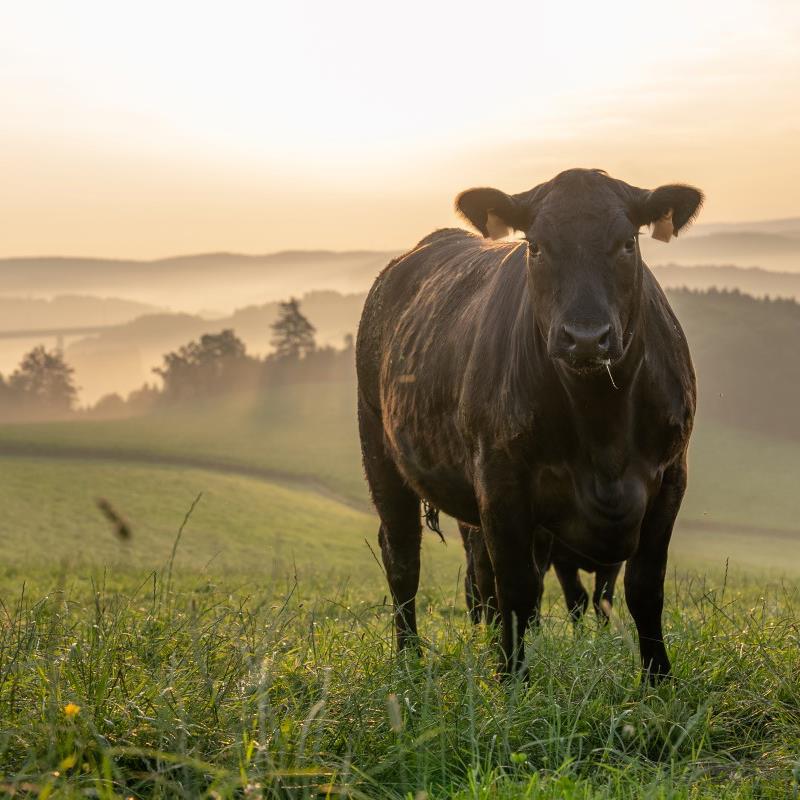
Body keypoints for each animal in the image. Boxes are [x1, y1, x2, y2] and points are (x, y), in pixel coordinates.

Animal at [356, 169, 700, 680]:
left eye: (627, 244)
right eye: (535, 246)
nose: (585, 337)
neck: (603, 418)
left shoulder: (670, 476)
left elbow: (643, 589)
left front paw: (659, 679)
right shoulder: (502, 481)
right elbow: (517, 590)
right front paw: (512, 680)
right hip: (379, 445)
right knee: (402, 556)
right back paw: (408, 658)